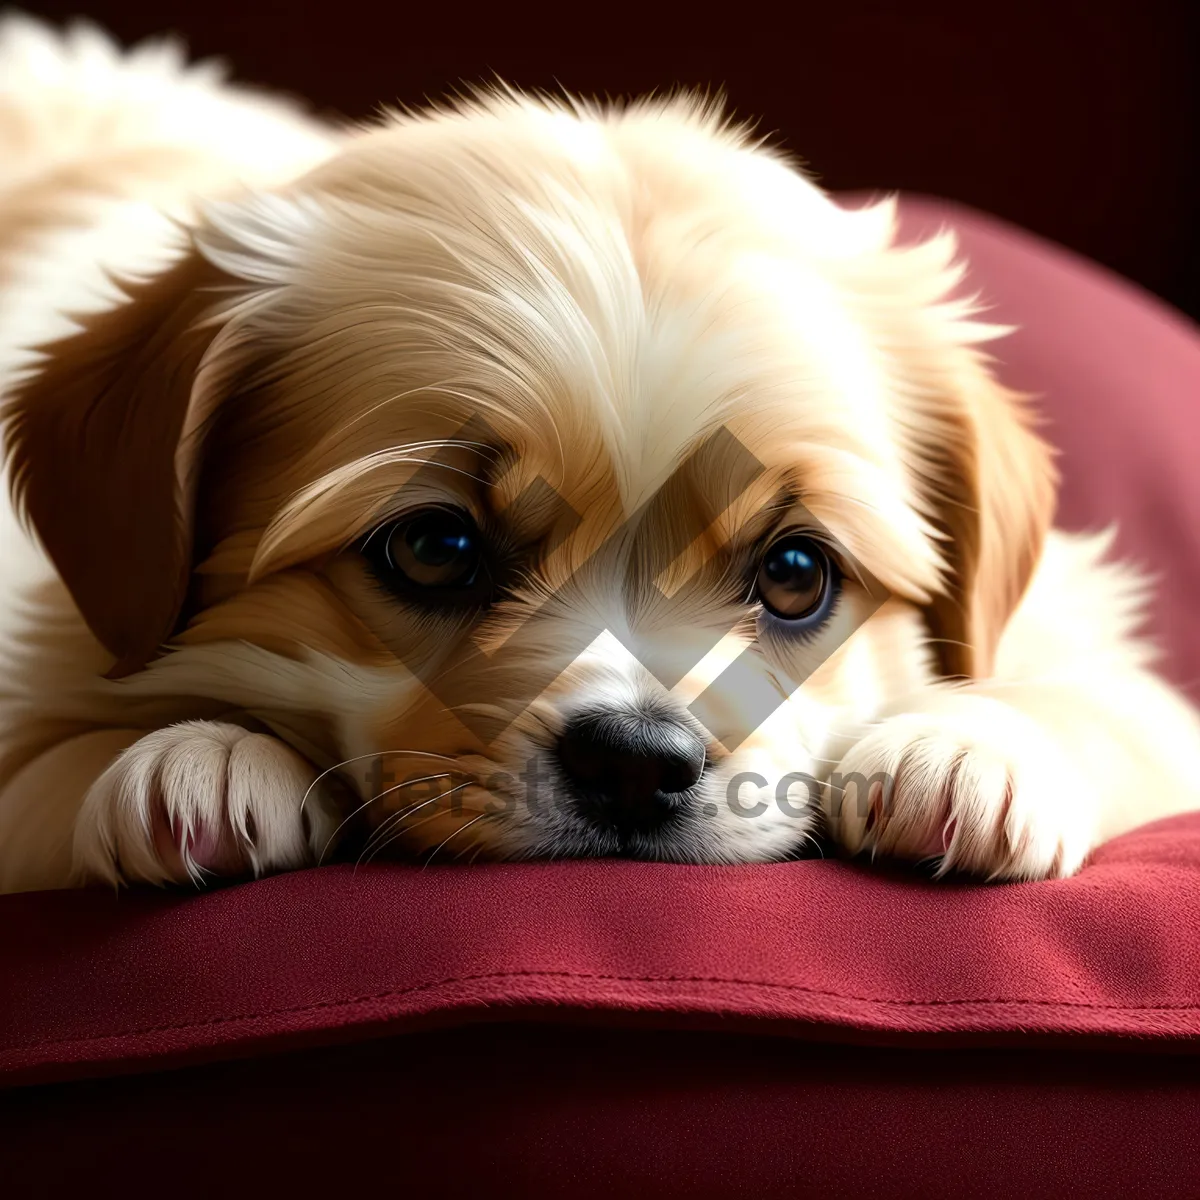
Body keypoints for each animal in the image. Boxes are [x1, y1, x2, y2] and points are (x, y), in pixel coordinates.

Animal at [2, 18, 1200, 892]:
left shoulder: (1114, 664)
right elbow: (50, 766)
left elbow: (1103, 710)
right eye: (434, 548)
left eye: (797, 572)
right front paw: (195, 756)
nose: (637, 761)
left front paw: (966, 756)